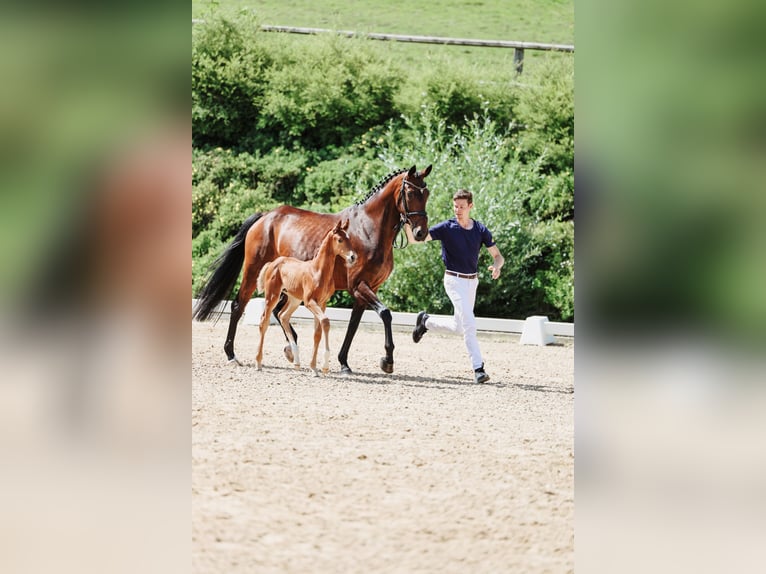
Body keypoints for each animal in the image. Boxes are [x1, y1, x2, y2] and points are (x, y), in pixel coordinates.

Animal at [255, 218, 356, 376]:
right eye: (340, 240)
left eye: (349, 238)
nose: (353, 257)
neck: (318, 271)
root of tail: (273, 263)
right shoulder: (310, 302)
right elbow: (326, 322)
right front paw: (324, 366)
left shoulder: (322, 303)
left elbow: (317, 333)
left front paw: (314, 367)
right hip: (272, 295)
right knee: (264, 321)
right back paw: (258, 362)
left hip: (294, 299)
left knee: (283, 316)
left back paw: (296, 362)